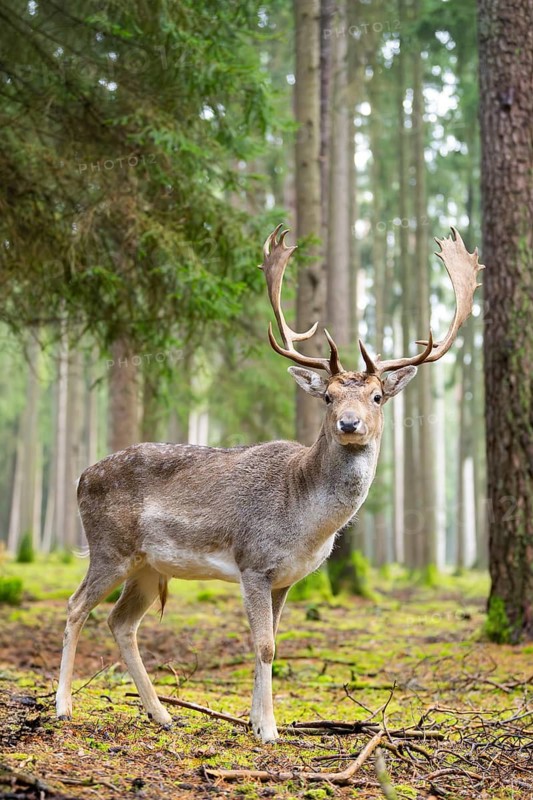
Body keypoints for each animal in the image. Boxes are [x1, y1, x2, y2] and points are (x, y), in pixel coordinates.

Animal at [56, 225, 483, 743]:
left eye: (378, 396)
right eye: (328, 396)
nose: (349, 423)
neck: (305, 522)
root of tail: (81, 476)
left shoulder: (287, 578)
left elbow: (273, 643)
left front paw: (257, 721)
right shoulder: (254, 562)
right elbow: (263, 645)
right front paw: (269, 730)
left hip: (148, 566)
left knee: (121, 622)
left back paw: (163, 714)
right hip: (108, 546)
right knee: (75, 606)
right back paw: (63, 707)